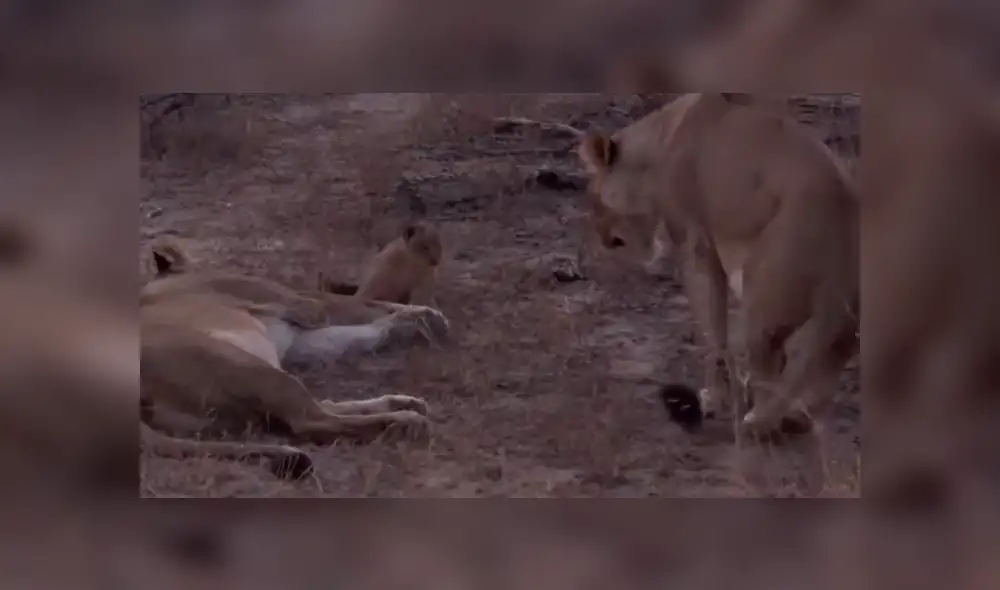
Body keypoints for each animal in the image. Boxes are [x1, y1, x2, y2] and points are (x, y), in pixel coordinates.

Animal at [139, 239, 451, 479]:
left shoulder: (300, 338)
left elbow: (364, 327)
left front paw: (416, 321)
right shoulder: (307, 305)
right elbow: (364, 305)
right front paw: (427, 316)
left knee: (322, 407)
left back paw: (402, 402)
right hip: (244, 365)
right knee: (312, 421)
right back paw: (404, 420)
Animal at [576, 92, 859, 438]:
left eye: (593, 198)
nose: (600, 238)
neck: (660, 143)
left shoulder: (696, 247)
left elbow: (712, 329)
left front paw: (712, 397)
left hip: (761, 298)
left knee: (773, 366)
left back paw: (758, 418)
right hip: (844, 322)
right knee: (824, 367)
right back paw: (794, 414)